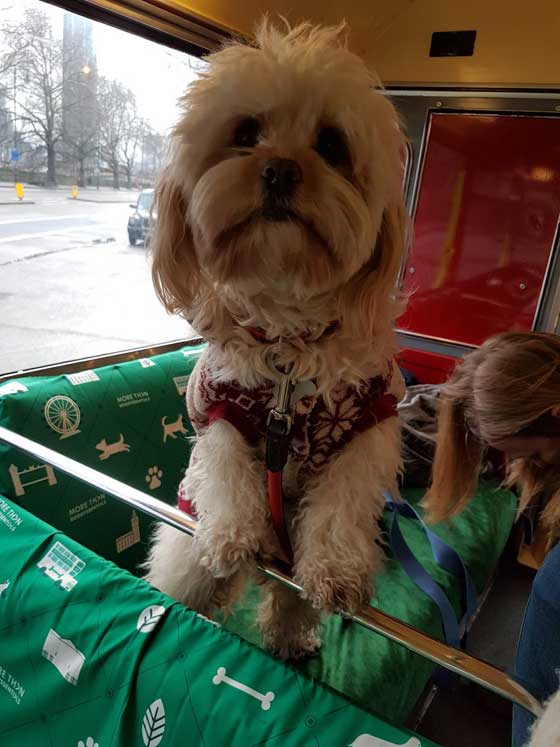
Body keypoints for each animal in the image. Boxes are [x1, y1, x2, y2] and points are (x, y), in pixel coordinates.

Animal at [144, 21, 408, 660]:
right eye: (244, 134)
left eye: (332, 145)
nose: (282, 168)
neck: (290, 351)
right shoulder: (219, 406)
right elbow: (226, 466)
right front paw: (230, 535)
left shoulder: (370, 420)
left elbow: (342, 500)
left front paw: (335, 570)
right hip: (182, 560)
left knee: (287, 601)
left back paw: (290, 639)